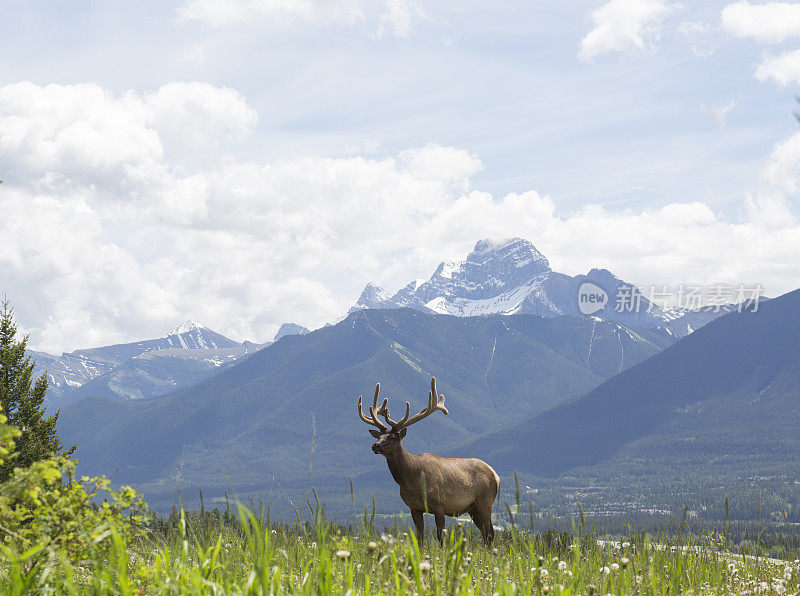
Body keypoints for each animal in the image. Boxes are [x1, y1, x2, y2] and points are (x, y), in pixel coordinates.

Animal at [358, 378, 496, 544]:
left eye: (392, 437)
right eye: (379, 436)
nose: (375, 445)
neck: (412, 479)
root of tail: (495, 474)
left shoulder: (439, 505)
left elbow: (440, 537)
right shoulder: (414, 507)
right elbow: (419, 537)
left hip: (485, 501)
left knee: (490, 533)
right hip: (473, 508)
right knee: (486, 533)